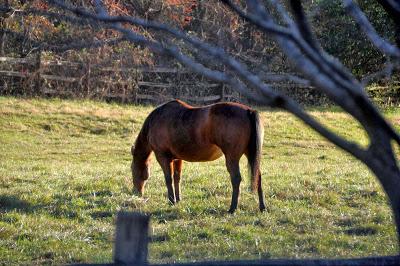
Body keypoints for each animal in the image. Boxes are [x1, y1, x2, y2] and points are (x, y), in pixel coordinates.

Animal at [130, 98, 266, 213]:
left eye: (132, 169)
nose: (136, 193)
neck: (156, 120)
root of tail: (249, 111)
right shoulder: (177, 158)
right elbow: (177, 178)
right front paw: (178, 199)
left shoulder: (163, 157)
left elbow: (168, 179)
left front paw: (171, 200)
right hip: (251, 155)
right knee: (257, 177)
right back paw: (262, 207)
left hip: (232, 158)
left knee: (236, 179)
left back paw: (232, 208)